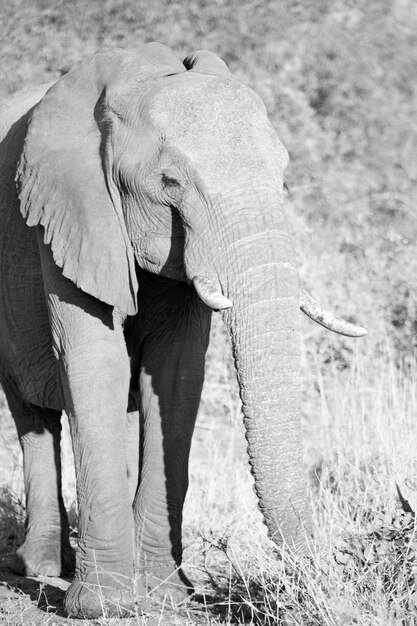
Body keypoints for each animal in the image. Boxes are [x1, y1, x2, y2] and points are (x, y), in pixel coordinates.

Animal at [0, 42, 364, 616]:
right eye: (169, 183)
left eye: (283, 174)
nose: (320, 578)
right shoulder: (70, 214)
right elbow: (94, 363)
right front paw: (104, 608)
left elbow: (174, 375)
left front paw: (167, 599)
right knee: (33, 415)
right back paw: (41, 568)